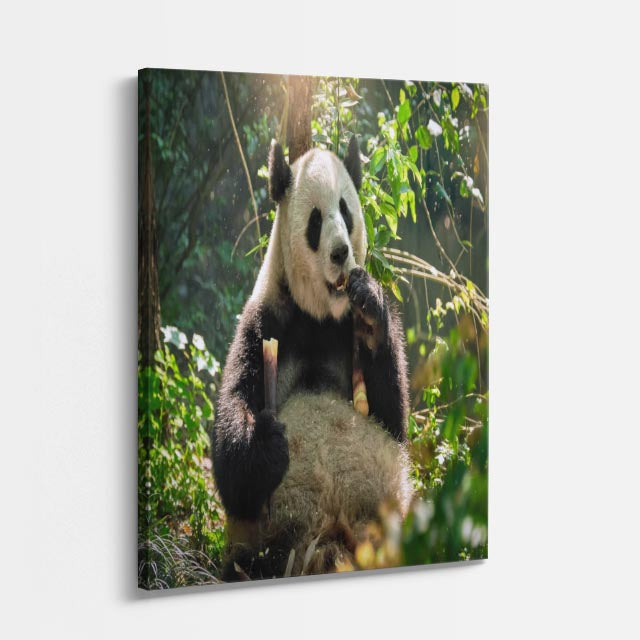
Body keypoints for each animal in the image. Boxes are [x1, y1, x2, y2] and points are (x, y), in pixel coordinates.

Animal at [212, 136, 413, 580]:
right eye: (316, 221)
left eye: (346, 211)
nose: (340, 253)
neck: (319, 314)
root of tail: (332, 540)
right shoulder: (264, 323)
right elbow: (229, 456)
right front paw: (268, 443)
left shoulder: (345, 330)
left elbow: (392, 416)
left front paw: (369, 306)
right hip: (267, 543)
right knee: (252, 561)